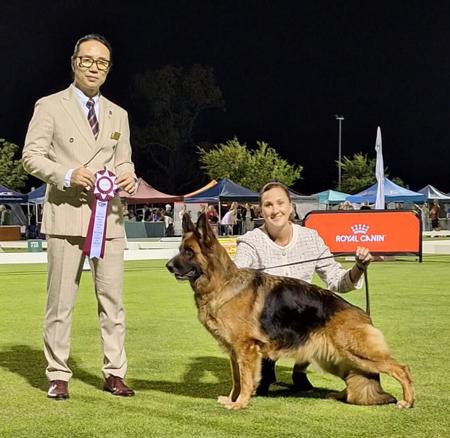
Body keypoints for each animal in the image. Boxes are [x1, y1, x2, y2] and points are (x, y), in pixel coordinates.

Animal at [166, 214, 415, 410]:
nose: (168, 266)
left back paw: (408, 401)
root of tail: (363, 313)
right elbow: (236, 379)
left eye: (189, 252)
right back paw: (342, 395)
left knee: (402, 368)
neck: (222, 283)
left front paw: (240, 403)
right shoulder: (233, 352)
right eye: (180, 250)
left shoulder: (245, 350)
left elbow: (245, 380)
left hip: (357, 353)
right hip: (338, 358)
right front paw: (232, 399)